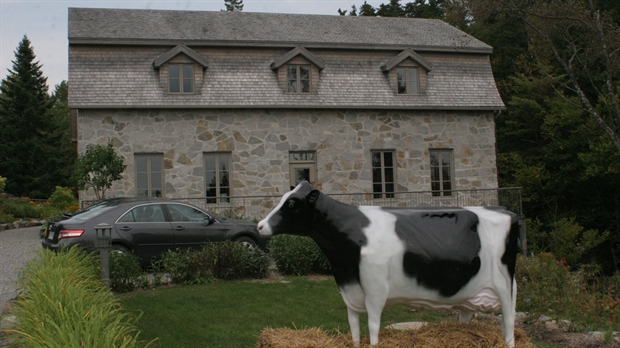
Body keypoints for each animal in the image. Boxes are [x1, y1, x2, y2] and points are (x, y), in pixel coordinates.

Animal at [256, 181, 520, 346]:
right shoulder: (349, 290)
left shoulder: (375, 290)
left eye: (291, 204)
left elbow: (373, 326)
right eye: (282, 199)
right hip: (472, 291)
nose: (259, 226)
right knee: (469, 315)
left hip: (505, 285)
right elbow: (354, 326)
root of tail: (507, 211)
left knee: (509, 320)